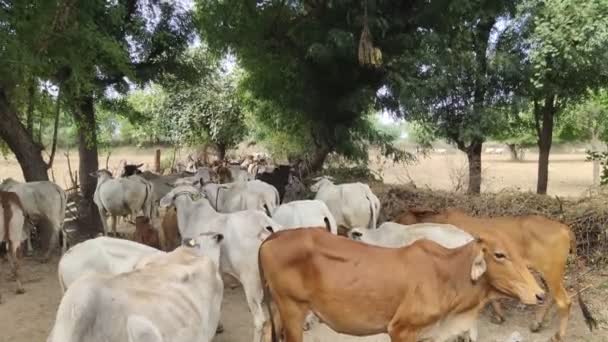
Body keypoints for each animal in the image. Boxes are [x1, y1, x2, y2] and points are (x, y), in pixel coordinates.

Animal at [258, 227, 544, 342]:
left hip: (277, 310)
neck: (448, 275)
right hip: (292, 310)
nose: (540, 294)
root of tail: (274, 236)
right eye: (499, 255)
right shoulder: (401, 330)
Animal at [394, 206, 600, 340]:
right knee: (548, 296)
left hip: (551, 272)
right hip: (547, 274)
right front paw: (500, 315)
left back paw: (557, 335)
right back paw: (537, 324)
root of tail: (563, 227)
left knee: (564, 302)